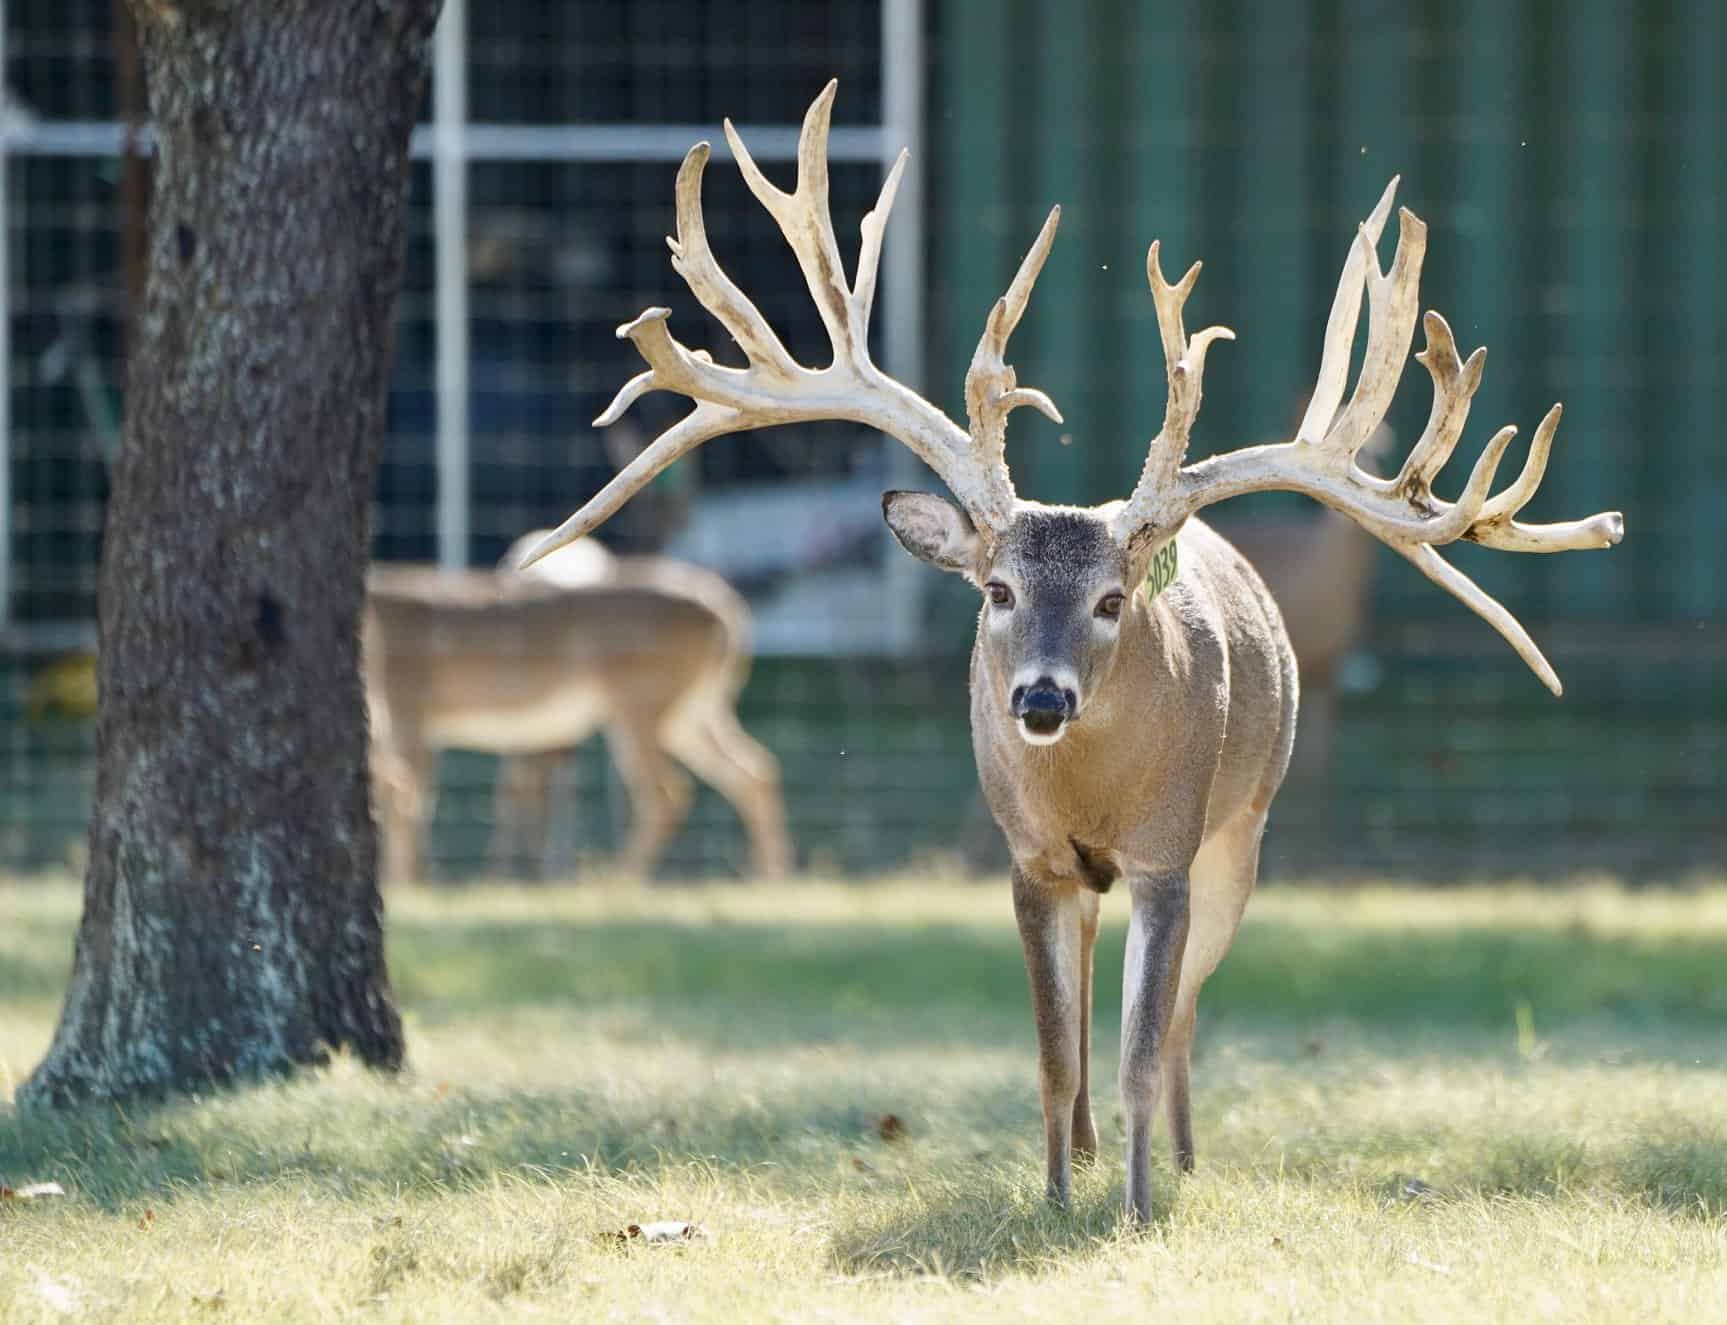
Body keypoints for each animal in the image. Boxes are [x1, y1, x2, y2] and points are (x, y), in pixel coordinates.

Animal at [364, 550, 791, 885]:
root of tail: (726, 609)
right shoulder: (409, 722)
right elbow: (411, 796)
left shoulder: (407, 704)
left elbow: (405, 797)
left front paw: (404, 884)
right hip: (690, 711)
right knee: (755, 768)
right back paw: (768, 877)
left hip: (640, 702)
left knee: (669, 792)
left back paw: (617, 881)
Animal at [515, 83, 1624, 1223]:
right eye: (996, 588)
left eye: (1110, 599)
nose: (1039, 700)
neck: (1091, 788)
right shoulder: (1031, 857)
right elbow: (1052, 1051)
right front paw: (1053, 1194)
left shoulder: (1168, 851)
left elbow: (1144, 1039)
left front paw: (1134, 1205)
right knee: (1094, 982)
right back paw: (1087, 1156)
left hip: (1241, 829)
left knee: (1183, 1014)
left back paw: (1177, 1159)